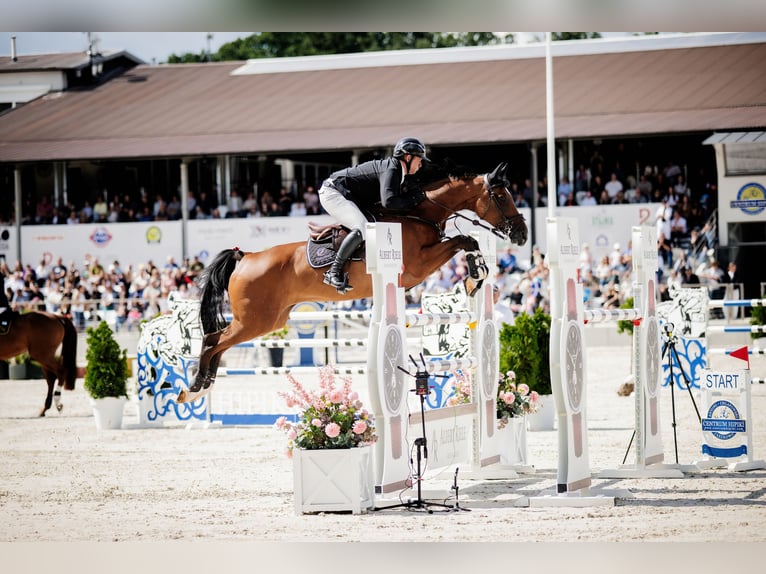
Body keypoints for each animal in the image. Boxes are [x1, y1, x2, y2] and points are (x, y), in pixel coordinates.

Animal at [177, 161, 528, 404]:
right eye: (500, 196)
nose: (522, 234)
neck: (418, 214)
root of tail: (246, 256)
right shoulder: (418, 266)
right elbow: (463, 239)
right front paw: (476, 273)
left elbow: (465, 241)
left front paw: (476, 276)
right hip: (255, 320)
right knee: (212, 340)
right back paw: (195, 387)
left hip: (269, 320)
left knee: (218, 340)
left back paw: (203, 385)